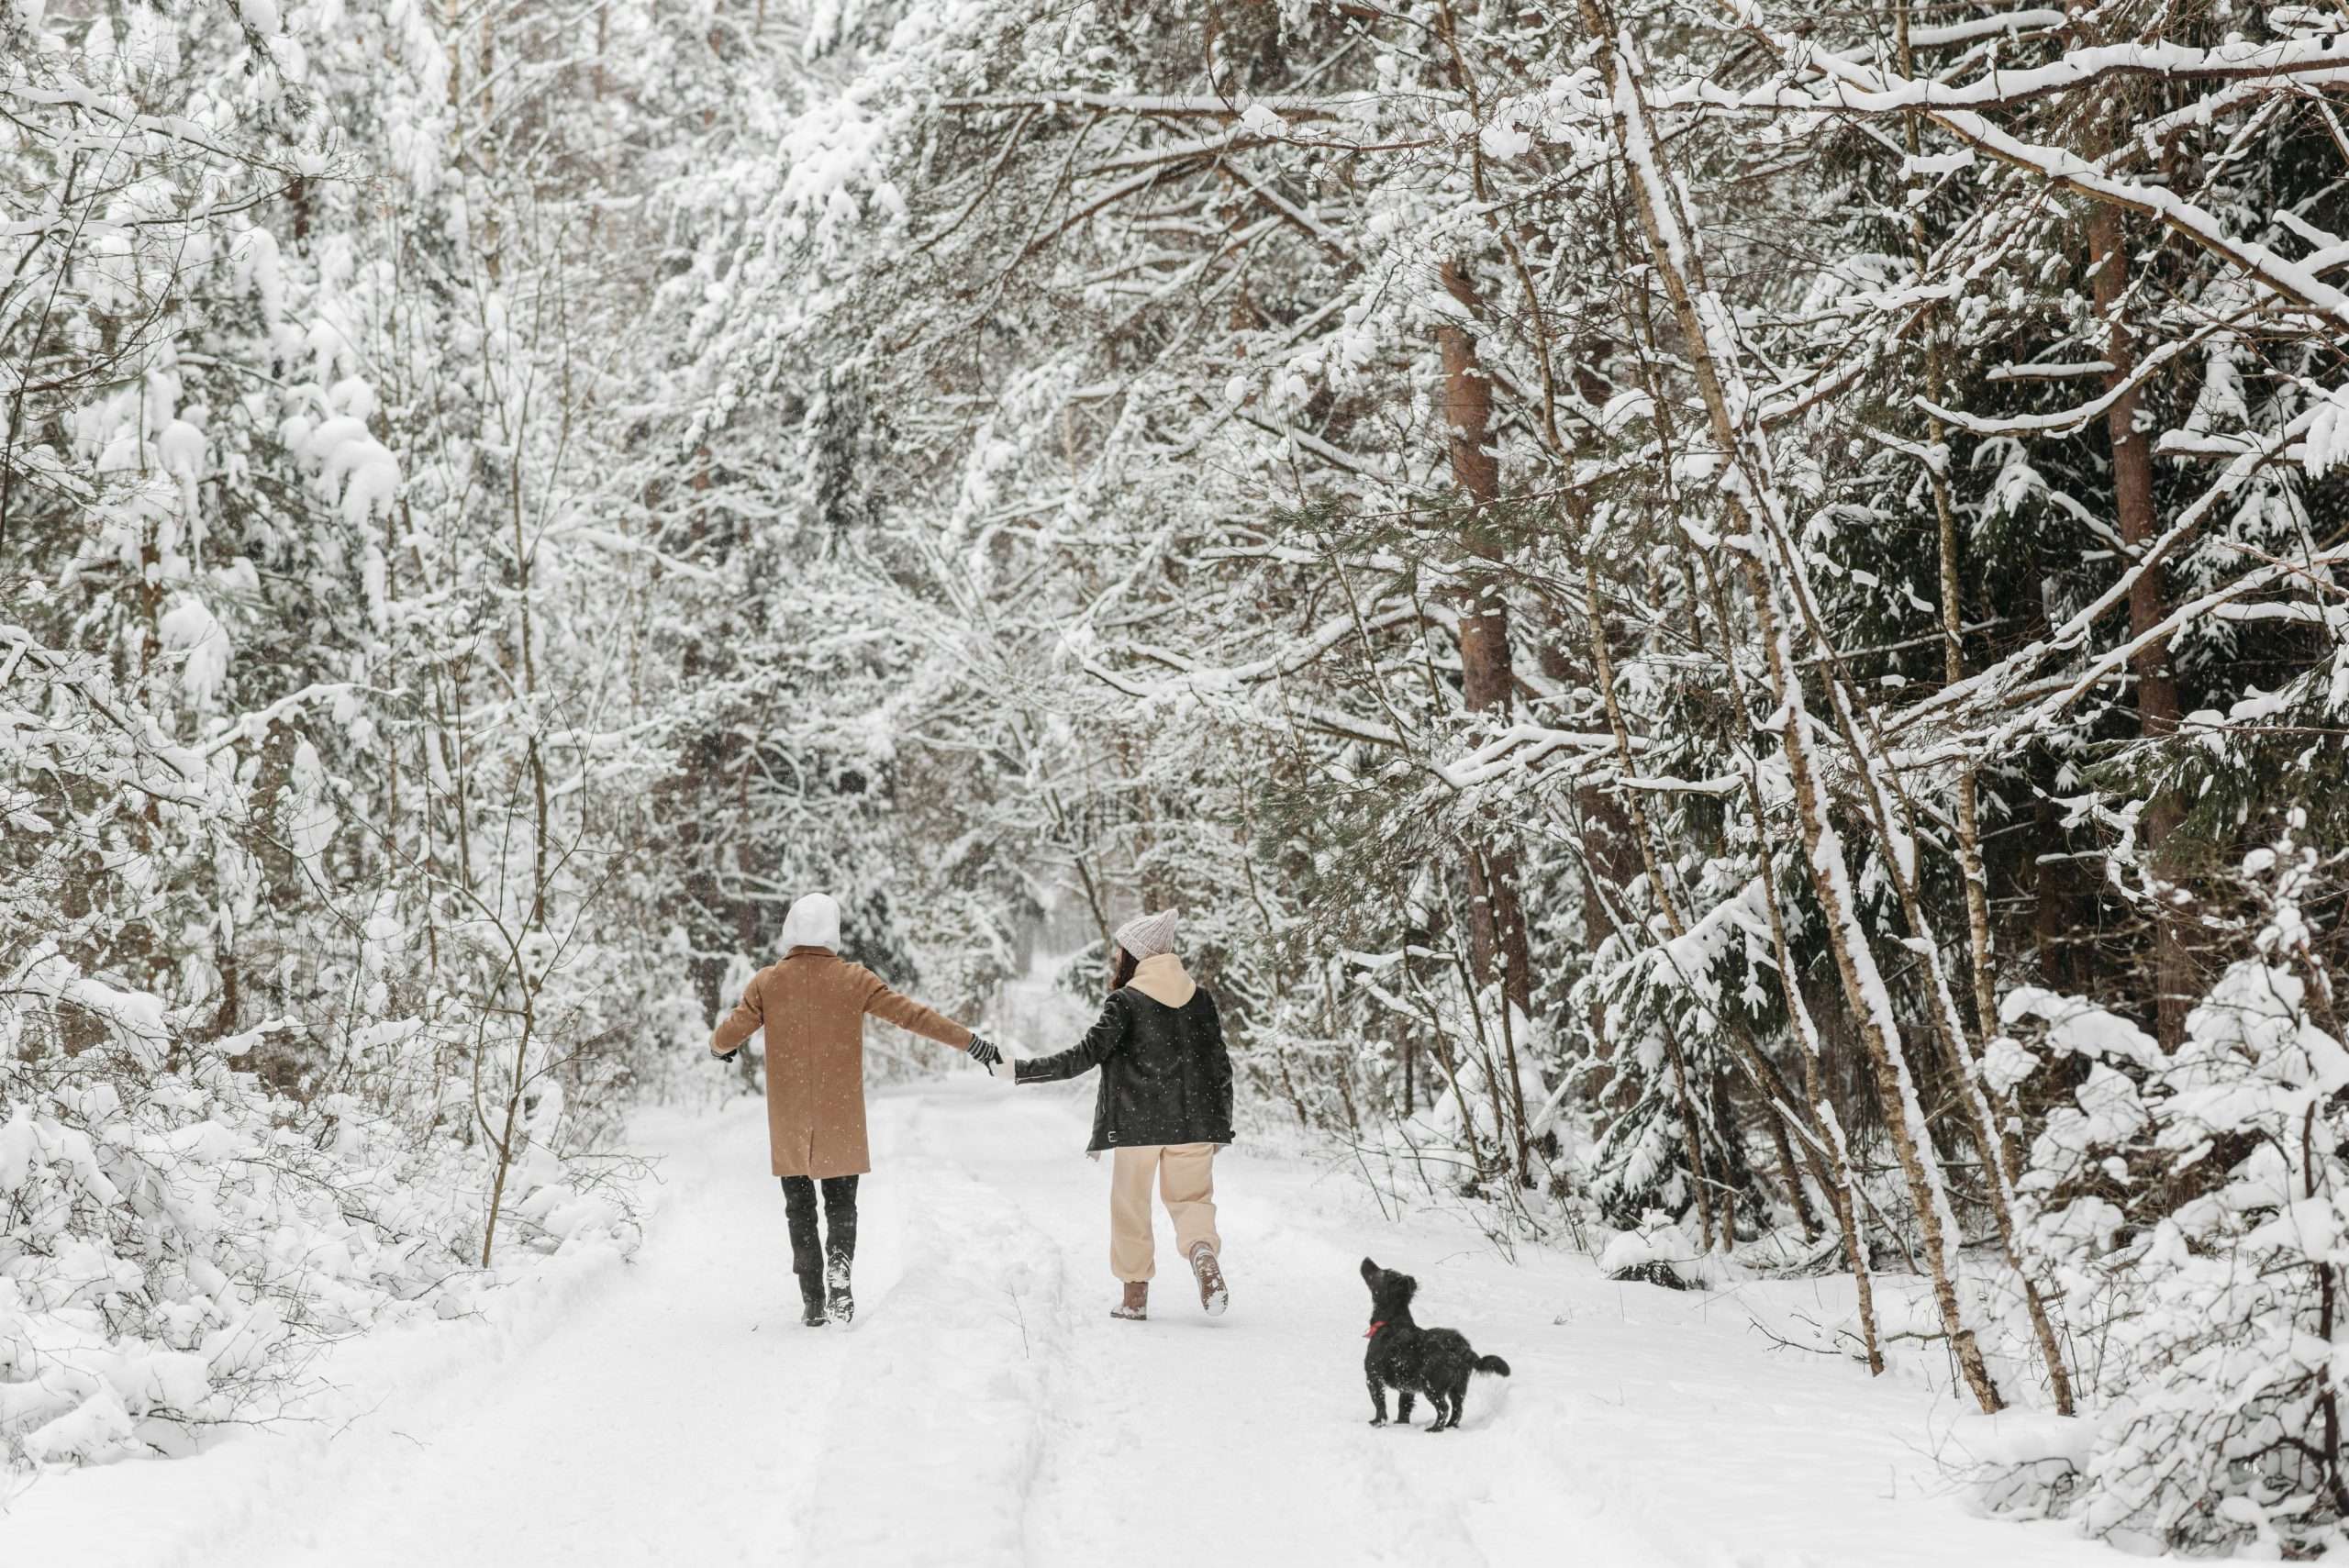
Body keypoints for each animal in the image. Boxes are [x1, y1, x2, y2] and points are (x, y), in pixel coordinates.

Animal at [1362, 1258, 1503, 1427]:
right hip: (1458, 1387)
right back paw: (1450, 1426)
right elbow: (1404, 1406)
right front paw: (1401, 1424)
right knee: (1458, 1409)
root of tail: (1463, 1349)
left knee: (1444, 1408)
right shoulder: (1406, 1386)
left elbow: (1379, 1404)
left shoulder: (1373, 1376)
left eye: (1384, 1272)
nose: (1367, 1259)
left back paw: (1435, 1428)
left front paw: (1377, 1422)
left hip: (1431, 1384)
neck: (1391, 1320)